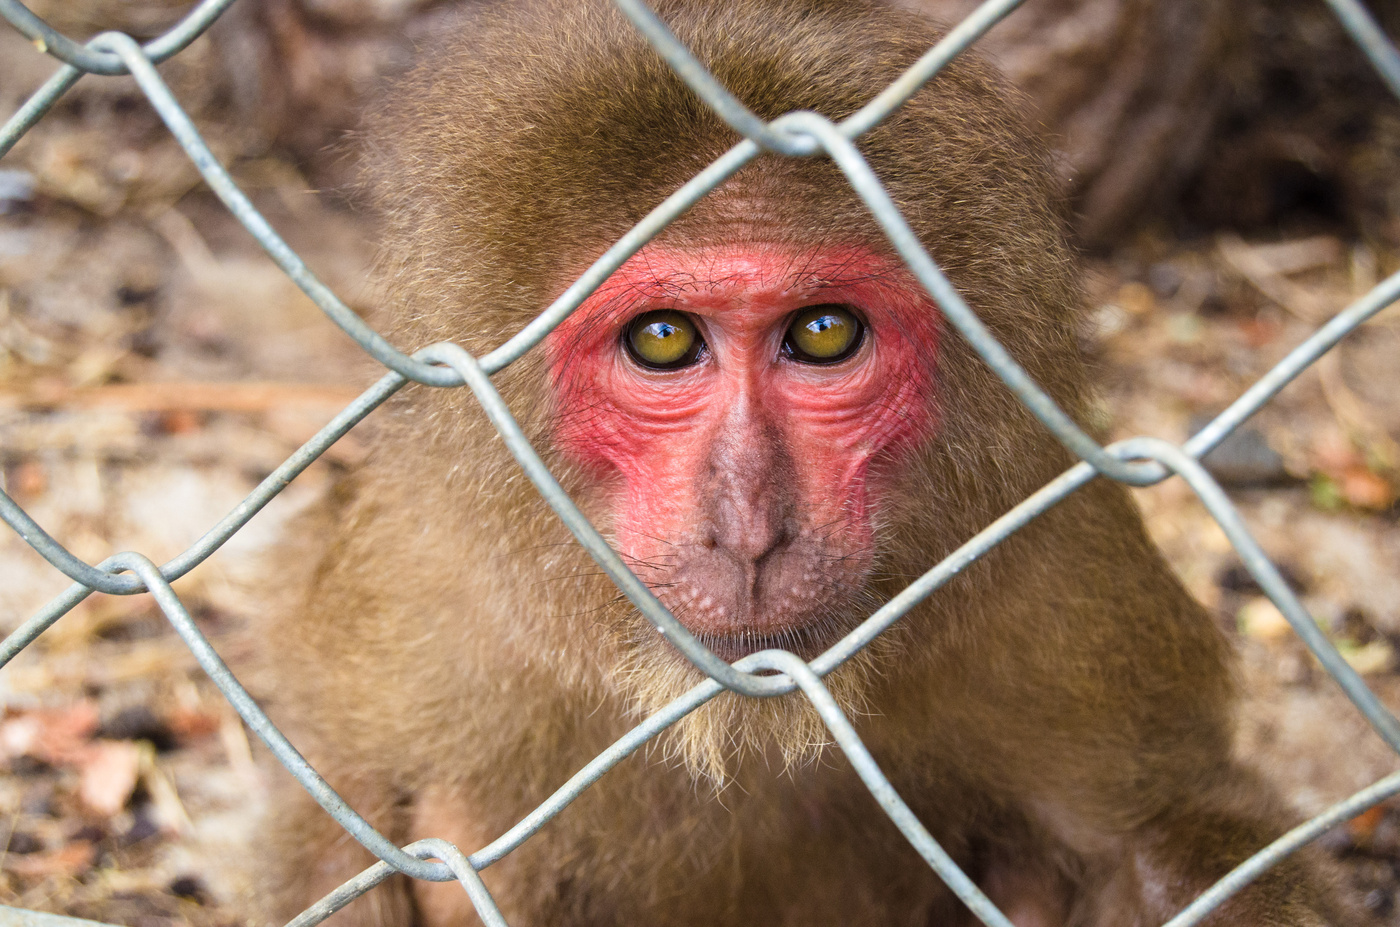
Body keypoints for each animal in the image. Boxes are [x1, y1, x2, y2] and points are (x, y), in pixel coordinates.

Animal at [249, 1, 1355, 927]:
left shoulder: (1069, 587)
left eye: (824, 334)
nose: (748, 528)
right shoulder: (413, 587)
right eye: (662, 341)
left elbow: (1170, 835)